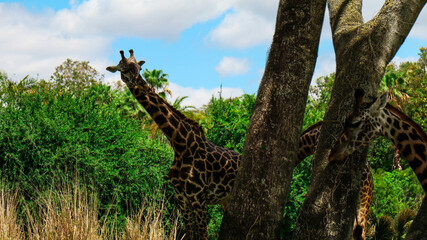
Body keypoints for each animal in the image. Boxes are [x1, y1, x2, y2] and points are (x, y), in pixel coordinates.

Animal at [106, 49, 374, 239]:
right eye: (122, 68)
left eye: (138, 66)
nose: (136, 80)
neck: (179, 142)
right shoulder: (182, 197)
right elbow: (190, 235)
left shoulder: (199, 197)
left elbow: (202, 236)